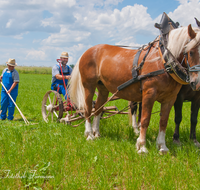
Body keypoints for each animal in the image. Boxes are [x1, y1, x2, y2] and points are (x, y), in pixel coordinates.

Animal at [69, 25, 200, 154]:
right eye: (191, 52)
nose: (197, 83)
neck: (163, 62)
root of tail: (87, 51)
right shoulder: (149, 94)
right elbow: (145, 119)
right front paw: (142, 146)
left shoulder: (170, 98)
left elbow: (163, 121)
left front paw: (162, 147)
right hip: (89, 86)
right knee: (87, 109)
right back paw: (89, 135)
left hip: (103, 88)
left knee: (98, 108)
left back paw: (97, 133)